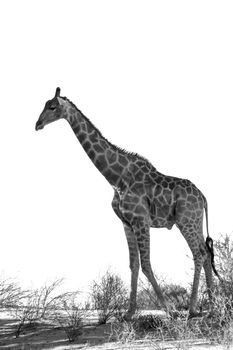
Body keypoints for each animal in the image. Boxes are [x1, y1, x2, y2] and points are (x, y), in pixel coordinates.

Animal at [35, 88, 219, 320]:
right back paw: (211, 307)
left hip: (185, 221)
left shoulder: (141, 220)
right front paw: (129, 313)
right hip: (193, 221)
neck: (116, 178)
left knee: (199, 254)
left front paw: (170, 310)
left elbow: (147, 265)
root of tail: (203, 197)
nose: (37, 124)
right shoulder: (126, 223)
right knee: (206, 253)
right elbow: (134, 264)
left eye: (52, 107)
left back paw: (192, 310)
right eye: (44, 105)